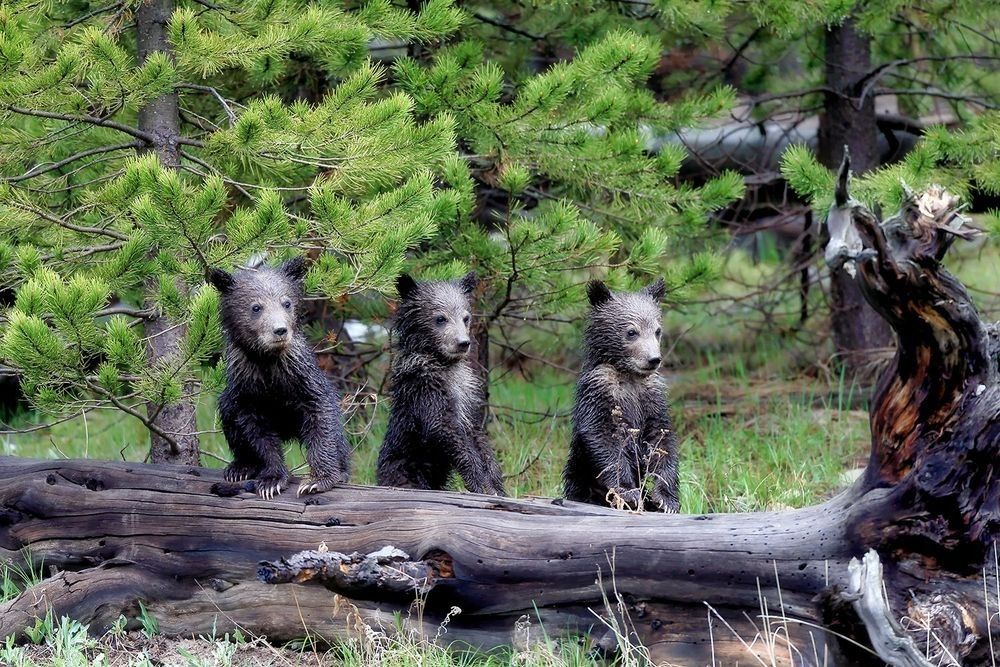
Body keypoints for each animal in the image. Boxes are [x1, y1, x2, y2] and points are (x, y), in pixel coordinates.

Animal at [208, 257, 350, 500]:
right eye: (256, 307)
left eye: (286, 303)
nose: (280, 330)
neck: (268, 363)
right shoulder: (247, 390)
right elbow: (258, 435)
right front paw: (271, 480)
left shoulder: (303, 380)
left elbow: (322, 420)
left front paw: (317, 480)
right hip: (229, 400)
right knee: (228, 413)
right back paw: (240, 467)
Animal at [375, 272, 506, 496]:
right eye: (440, 318)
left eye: (466, 317)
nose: (463, 343)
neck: (444, 364)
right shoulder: (425, 387)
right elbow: (443, 428)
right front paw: (479, 482)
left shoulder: (467, 396)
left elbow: (477, 434)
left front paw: (496, 483)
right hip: (406, 471)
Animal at [563, 278, 680, 512]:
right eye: (631, 332)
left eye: (657, 330)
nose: (653, 359)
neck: (630, 375)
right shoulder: (600, 390)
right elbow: (604, 438)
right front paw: (628, 492)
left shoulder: (651, 396)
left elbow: (661, 439)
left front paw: (666, 499)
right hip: (580, 479)